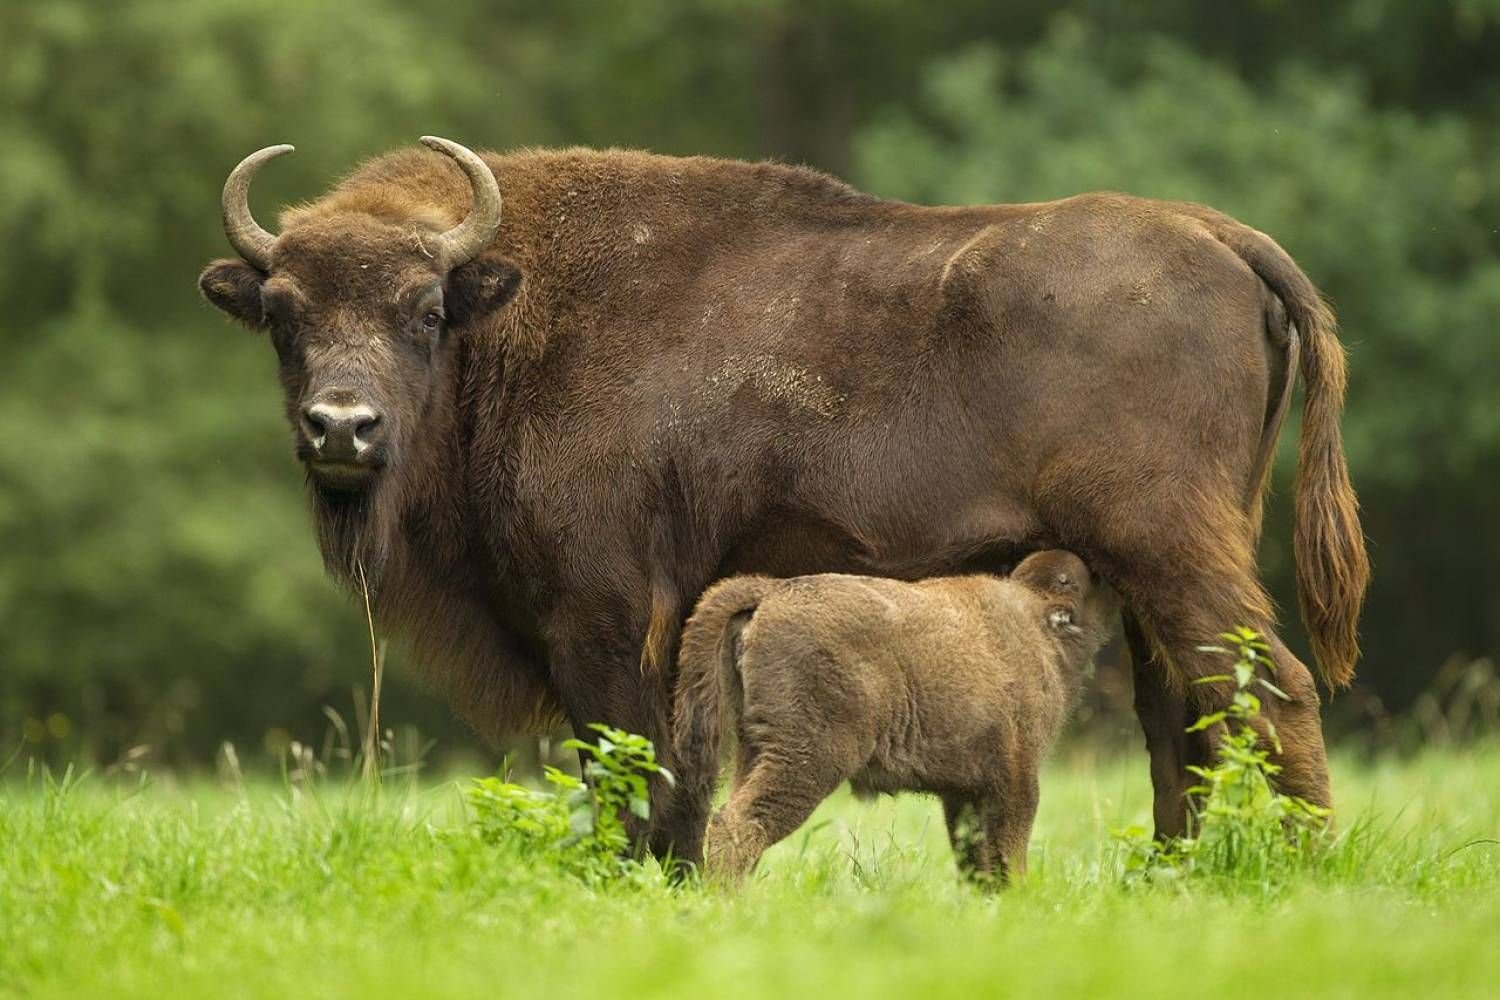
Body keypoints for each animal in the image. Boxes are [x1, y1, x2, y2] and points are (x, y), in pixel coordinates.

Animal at [669, 551, 1116, 887]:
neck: (1038, 621)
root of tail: (773, 590)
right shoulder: (1016, 778)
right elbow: (1009, 848)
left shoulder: (963, 792)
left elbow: (975, 856)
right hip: (808, 758)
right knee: (738, 822)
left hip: (754, 750)